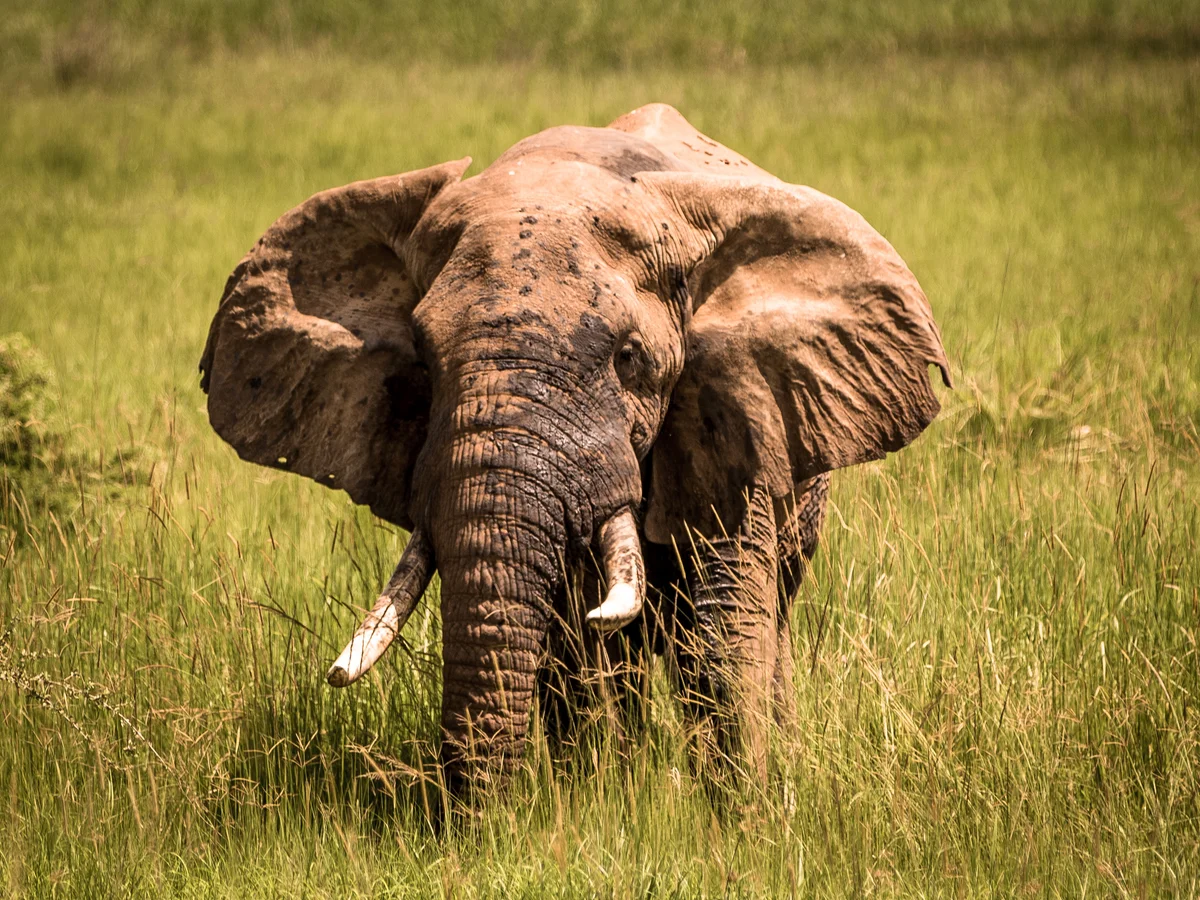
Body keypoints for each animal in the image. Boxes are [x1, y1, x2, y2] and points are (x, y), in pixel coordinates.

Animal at [198, 103, 951, 793]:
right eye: (425, 362)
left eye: (629, 359)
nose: (473, 831)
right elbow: (573, 646)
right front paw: (601, 800)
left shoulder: (731, 410)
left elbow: (722, 626)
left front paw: (743, 820)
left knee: (767, 614)